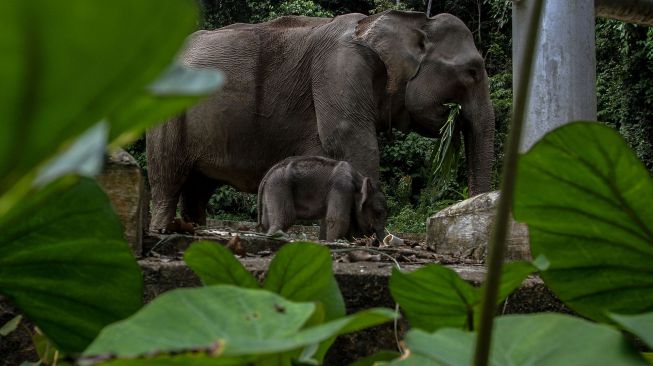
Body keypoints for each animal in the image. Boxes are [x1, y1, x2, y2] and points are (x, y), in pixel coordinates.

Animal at [146, 10, 494, 232]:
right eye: (473, 71)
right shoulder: (339, 69)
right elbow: (351, 141)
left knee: (198, 187)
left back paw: (190, 229)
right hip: (166, 115)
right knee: (168, 177)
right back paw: (164, 230)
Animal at [256, 156, 388, 242]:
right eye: (379, 212)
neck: (359, 178)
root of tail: (268, 173)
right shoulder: (342, 188)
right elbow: (338, 219)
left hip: (270, 190)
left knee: (266, 221)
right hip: (279, 186)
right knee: (287, 217)